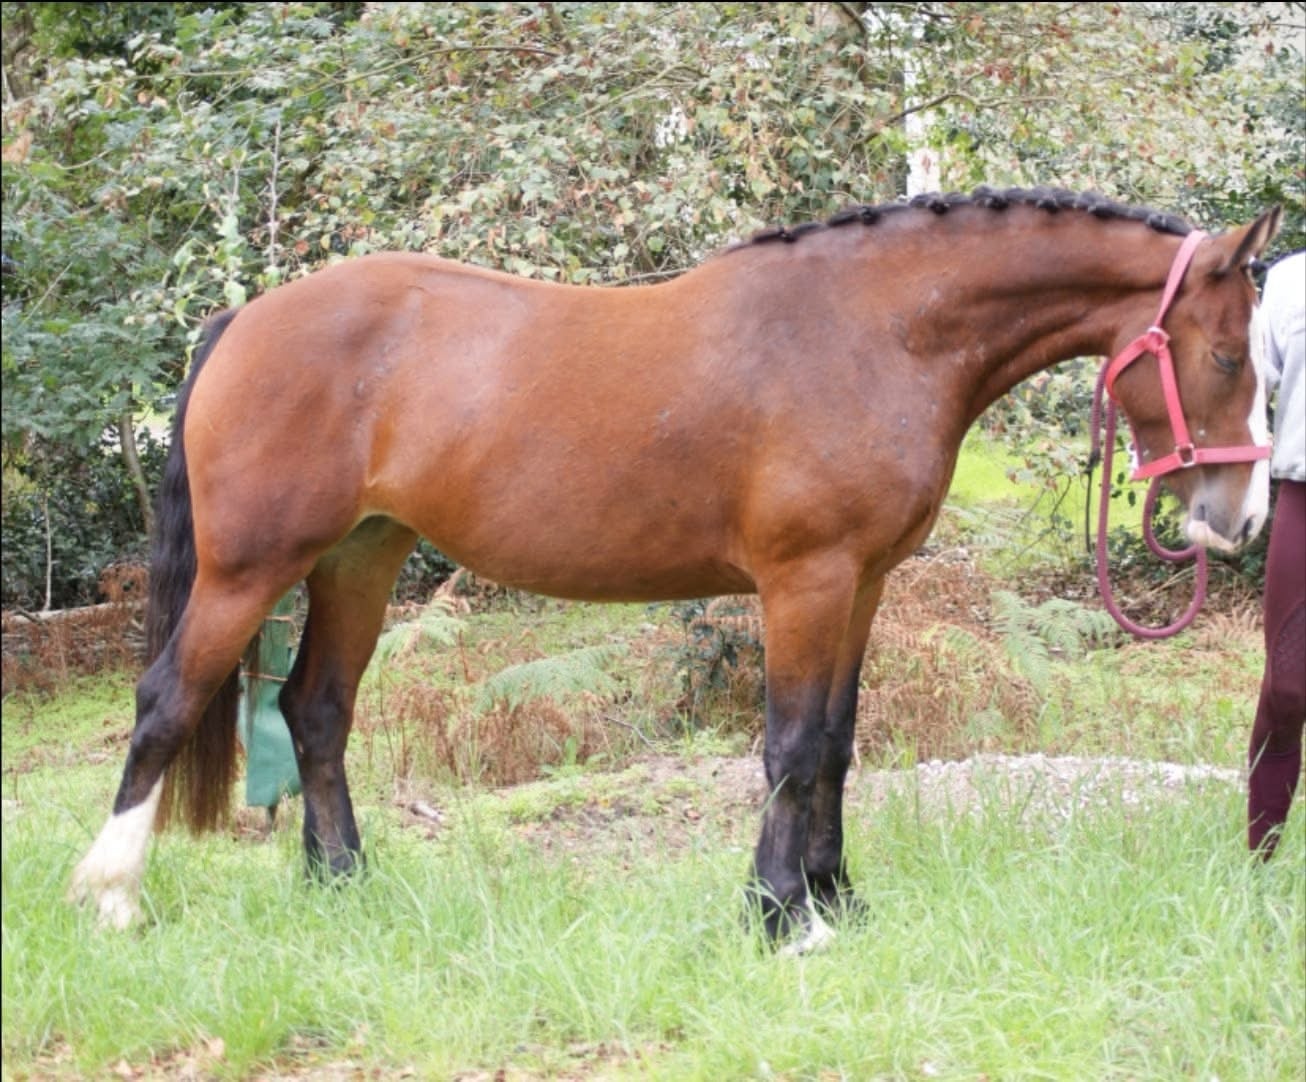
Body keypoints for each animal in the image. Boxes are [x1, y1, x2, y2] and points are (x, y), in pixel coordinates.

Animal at [70, 187, 1279, 951]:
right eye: (1226, 356)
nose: (1242, 516)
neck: (873, 332)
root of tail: (244, 320)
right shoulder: (805, 580)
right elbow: (792, 748)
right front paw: (781, 918)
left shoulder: (863, 583)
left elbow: (837, 744)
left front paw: (837, 897)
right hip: (248, 568)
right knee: (166, 700)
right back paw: (113, 898)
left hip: (361, 557)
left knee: (315, 710)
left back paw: (344, 884)